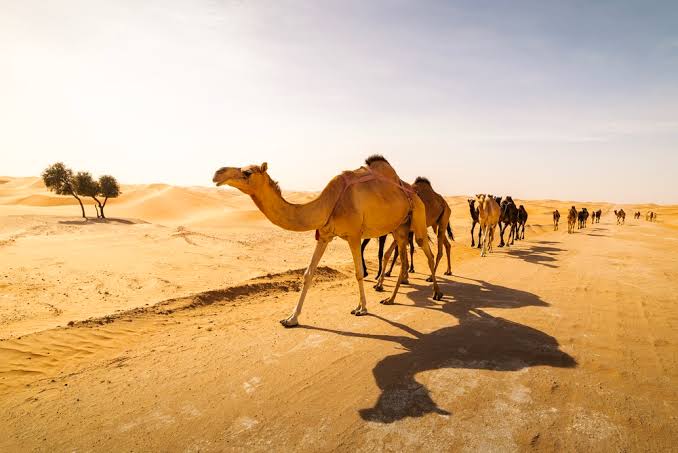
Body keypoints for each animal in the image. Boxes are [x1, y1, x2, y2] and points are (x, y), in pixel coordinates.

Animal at [212, 156, 443, 327]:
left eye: (247, 173)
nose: (217, 173)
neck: (329, 202)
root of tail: (412, 191)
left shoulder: (354, 235)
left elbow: (358, 273)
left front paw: (361, 309)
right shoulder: (324, 235)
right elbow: (308, 274)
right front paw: (291, 318)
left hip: (418, 218)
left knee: (428, 253)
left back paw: (437, 293)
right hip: (399, 228)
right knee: (403, 258)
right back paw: (390, 299)